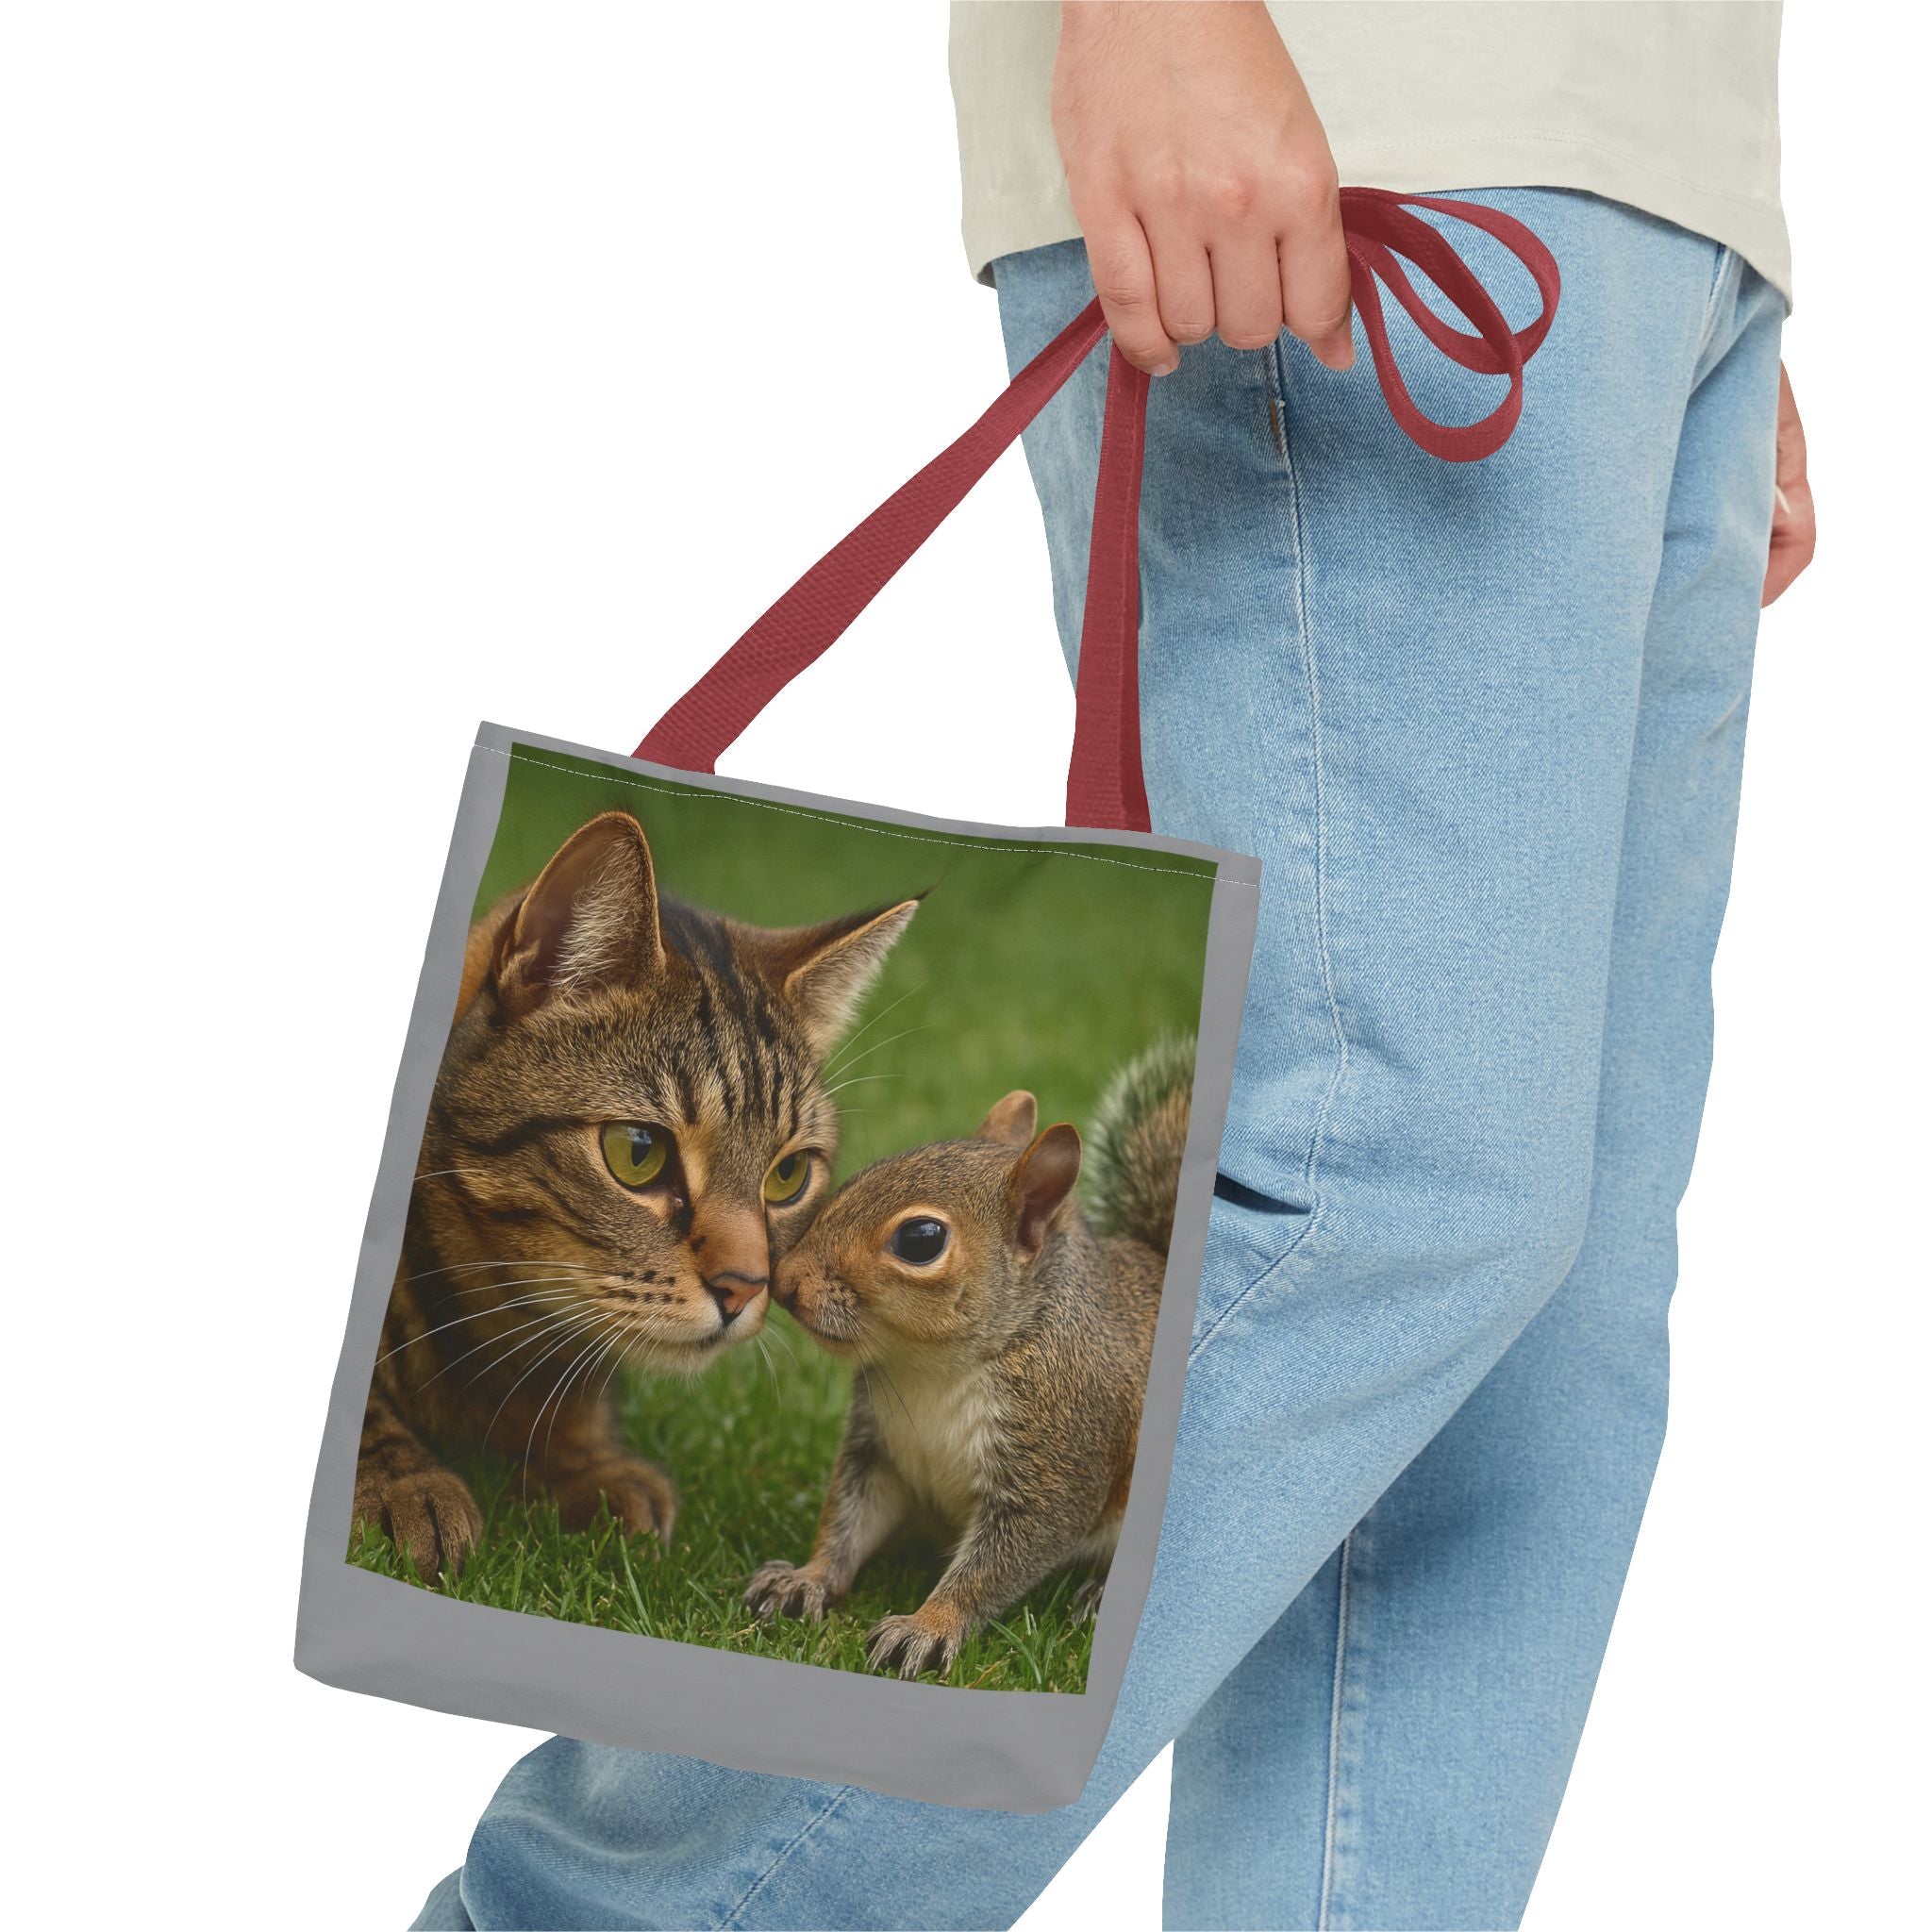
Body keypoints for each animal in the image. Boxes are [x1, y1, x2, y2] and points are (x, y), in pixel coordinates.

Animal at [745, 1035, 1194, 1679]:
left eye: (921, 1240)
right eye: (860, 1178)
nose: (784, 1284)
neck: (933, 1365)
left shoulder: (1060, 1455)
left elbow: (1000, 1562)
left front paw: (927, 1626)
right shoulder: (880, 1449)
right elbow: (848, 1522)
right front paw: (805, 1579)